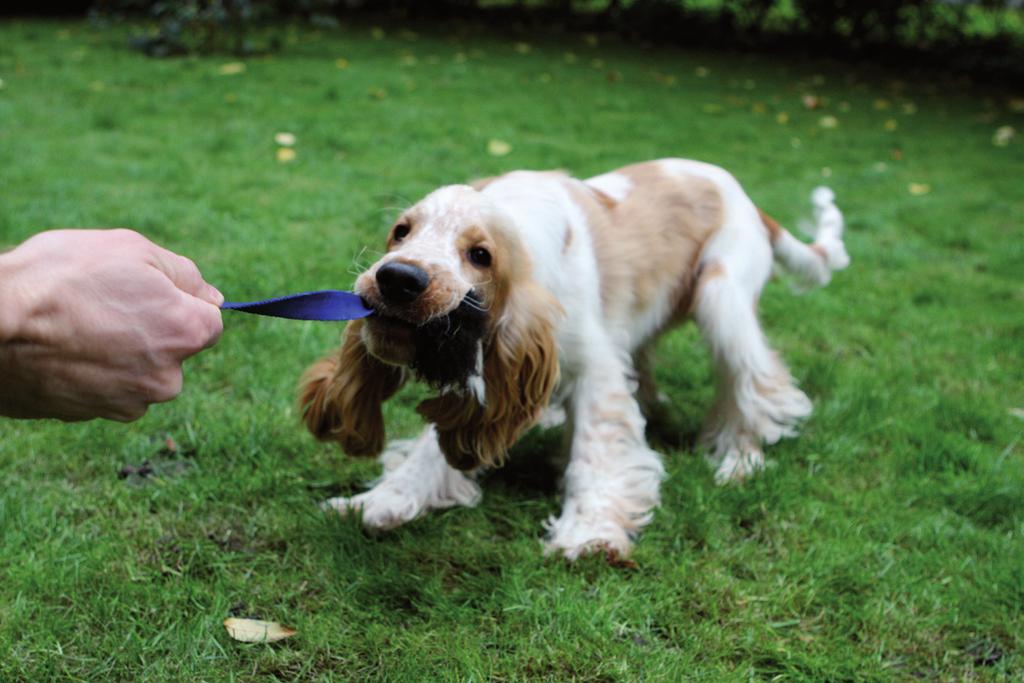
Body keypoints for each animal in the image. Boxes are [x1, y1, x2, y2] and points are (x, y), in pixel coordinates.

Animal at [299, 158, 847, 561]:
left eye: (481, 255)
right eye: (401, 231)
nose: (397, 278)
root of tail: (750, 202)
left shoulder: (594, 368)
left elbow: (596, 451)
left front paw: (588, 534)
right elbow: (431, 449)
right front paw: (378, 502)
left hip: (723, 297)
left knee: (754, 382)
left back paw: (738, 460)